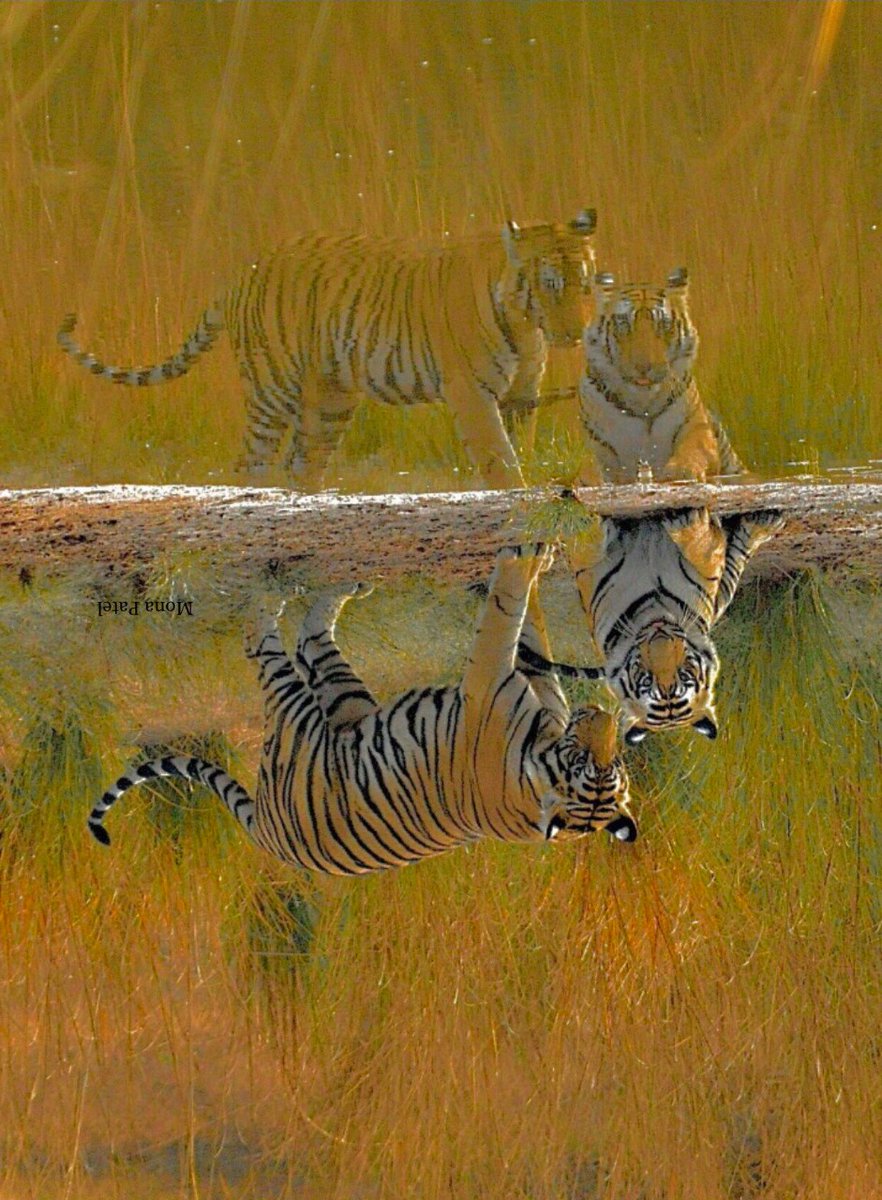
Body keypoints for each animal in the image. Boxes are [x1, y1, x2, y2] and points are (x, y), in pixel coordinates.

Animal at [57, 211, 600, 487]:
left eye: (585, 282)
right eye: (550, 285)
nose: (577, 331)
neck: (527, 325)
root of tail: (241, 277)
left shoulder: (520, 397)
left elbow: (517, 448)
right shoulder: (472, 393)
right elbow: (498, 458)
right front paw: (514, 496)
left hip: (331, 399)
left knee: (302, 463)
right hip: (272, 389)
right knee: (251, 463)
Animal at [90, 544, 638, 873]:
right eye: (600, 762)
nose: (603, 717)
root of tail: (266, 833)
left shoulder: (487, 682)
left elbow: (502, 615)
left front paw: (523, 560)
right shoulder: (533, 694)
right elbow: (529, 637)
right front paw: (541, 560)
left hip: (299, 717)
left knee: (276, 644)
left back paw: (273, 597)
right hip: (347, 698)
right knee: (311, 639)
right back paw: (347, 585)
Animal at [518, 511, 787, 744]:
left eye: (685, 676)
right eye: (646, 682)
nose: (661, 643)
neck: (653, 610)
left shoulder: (708, 586)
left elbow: (710, 553)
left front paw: (689, 522)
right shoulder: (590, 575)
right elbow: (588, 544)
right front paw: (582, 519)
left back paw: (763, 523)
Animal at [576, 267, 748, 482]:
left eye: (664, 325)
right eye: (623, 324)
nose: (643, 366)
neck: (643, 403)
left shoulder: (696, 427)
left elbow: (694, 448)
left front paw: (681, 469)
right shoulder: (597, 442)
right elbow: (592, 464)